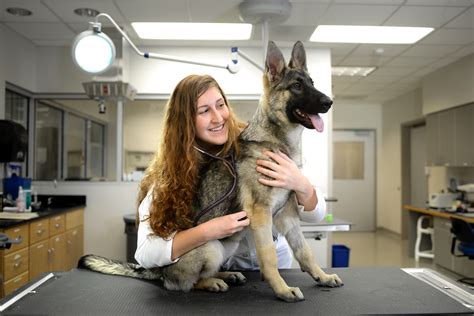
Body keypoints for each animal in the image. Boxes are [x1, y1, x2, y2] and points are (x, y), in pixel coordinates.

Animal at [79, 40, 342, 302]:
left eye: (312, 83)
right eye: (297, 86)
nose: (329, 102)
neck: (273, 140)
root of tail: (159, 272)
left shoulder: (287, 215)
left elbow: (305, 251)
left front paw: (322, 276)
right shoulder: (261, 214)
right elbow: (269, 257)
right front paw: (282, 289)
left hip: (228, 244)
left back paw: (227, 275)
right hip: (211, 247)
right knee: (185, 283)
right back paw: (212, 282)